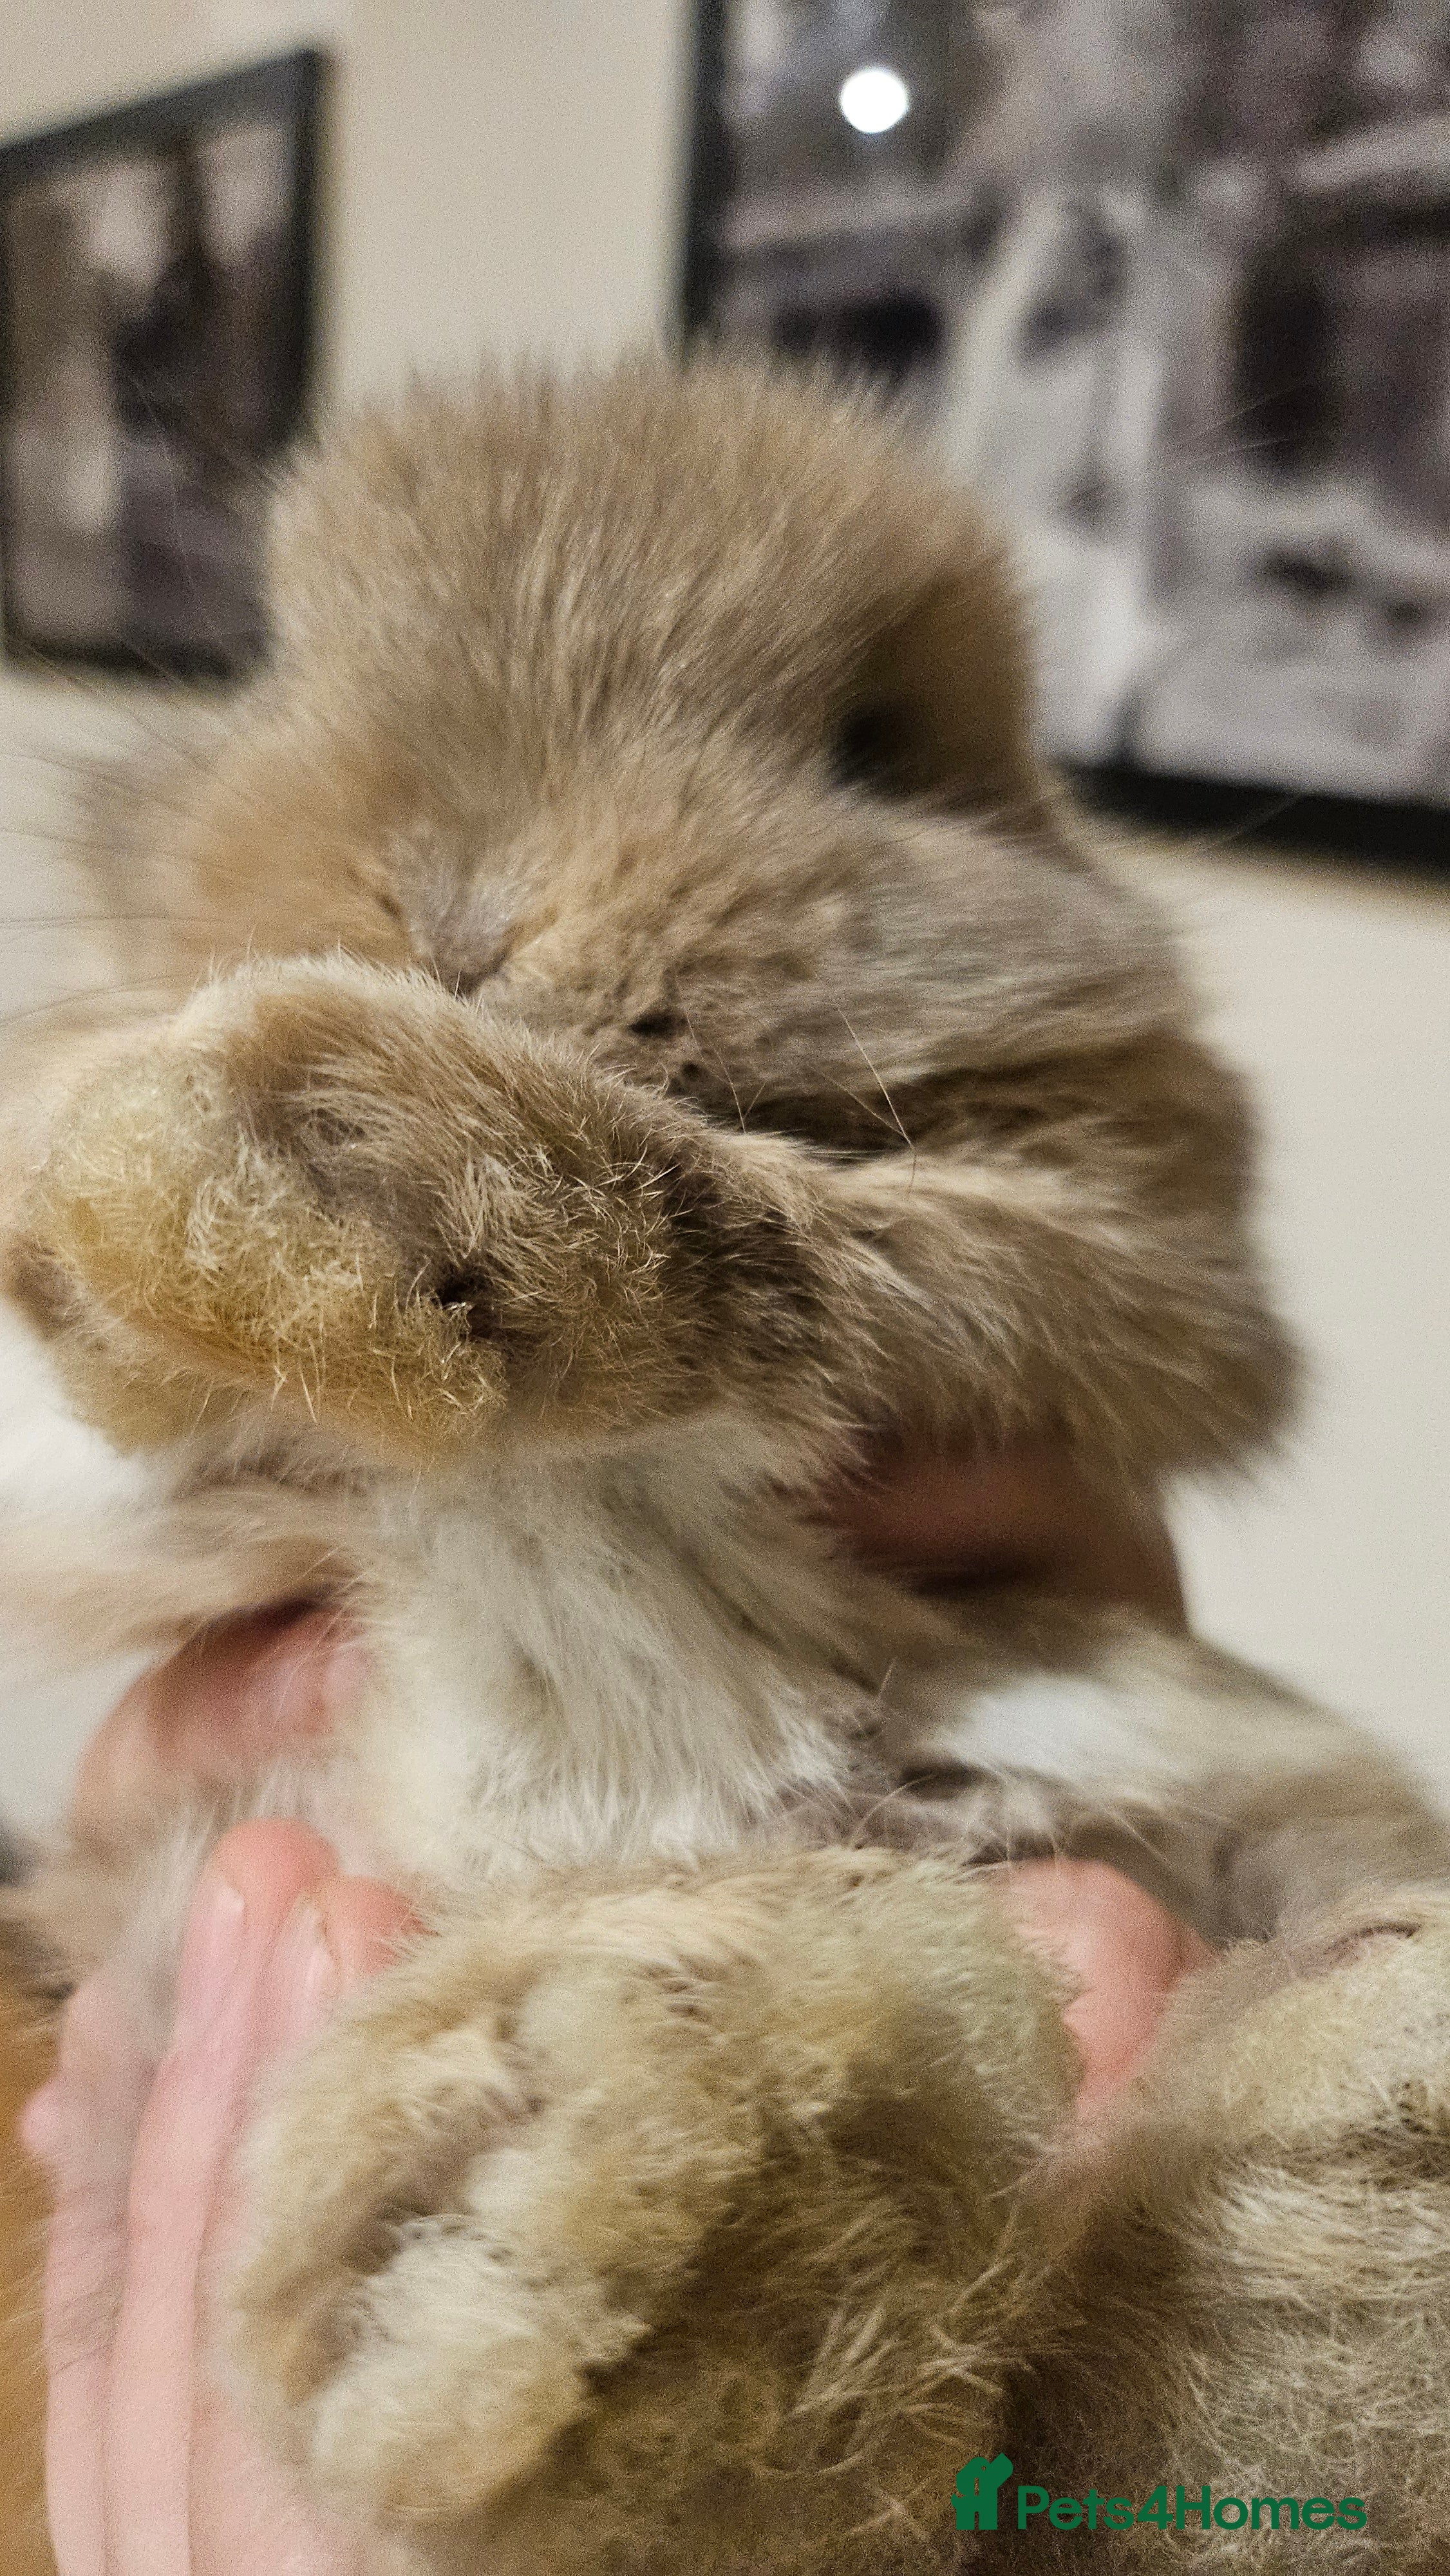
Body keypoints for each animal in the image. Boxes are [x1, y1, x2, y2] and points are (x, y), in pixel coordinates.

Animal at [1, 354, 1447, 2572]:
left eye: (872, 745)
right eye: (265, 660)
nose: (461, 906)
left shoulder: (1115, 1271)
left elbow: (807, 1249)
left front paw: (317, 1144)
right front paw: (217, 1172)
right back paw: (679, 2212)